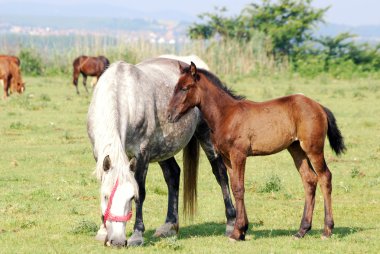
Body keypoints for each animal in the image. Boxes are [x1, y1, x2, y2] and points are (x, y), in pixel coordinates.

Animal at [87, 58, 236, 248]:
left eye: (131, 197)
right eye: (106, 196)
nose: (118, 241)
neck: (122, 93)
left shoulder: (141, 154)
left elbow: (142, 192)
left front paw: (137, 235)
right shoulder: (100, 157)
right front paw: (103, 231)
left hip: (206, 137)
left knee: (221, 174)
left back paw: (231, 223)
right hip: (163, 149)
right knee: (173, 175)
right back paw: (169, 226)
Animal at [168, 62, 346, 241]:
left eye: (185, 88)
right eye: (175, 87)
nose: (169, 115)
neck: (226, 114)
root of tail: (319, 106)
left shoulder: (239, 155)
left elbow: (239, 188)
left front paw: (237, 232)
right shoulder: (227, 158)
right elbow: (234, 187)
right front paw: (241, 231)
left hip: (313, 148)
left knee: (325, 177)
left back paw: (327, 230)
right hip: (296, 149)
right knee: (309, 180)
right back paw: (301, 230)